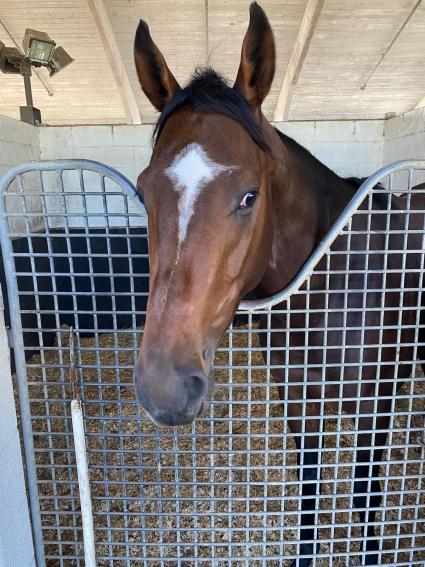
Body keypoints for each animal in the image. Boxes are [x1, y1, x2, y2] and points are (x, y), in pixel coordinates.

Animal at [132, 2, 424, 564]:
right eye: (143, 191)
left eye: (249, 195)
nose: (165, 388)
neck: (332, 286)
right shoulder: (298, 399)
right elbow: (308, 492)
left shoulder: (374, 403)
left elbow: (365, 496)